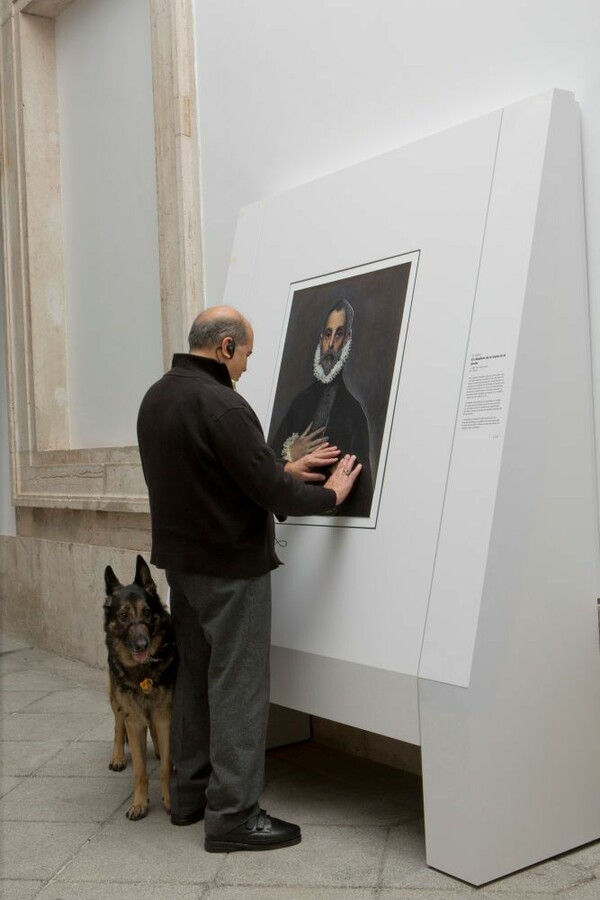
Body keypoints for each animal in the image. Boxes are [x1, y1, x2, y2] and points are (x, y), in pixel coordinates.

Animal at [103, 552, 177, 820]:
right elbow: (140, 772)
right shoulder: (134, 721)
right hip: (116, 698)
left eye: (146, 612)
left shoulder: (165, 717)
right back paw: (117, 757)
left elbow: (164, 767)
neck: (144, 672)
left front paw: (169, 800)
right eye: (123, 616)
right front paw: (139, 803)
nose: (142, 645)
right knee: (117, 725)